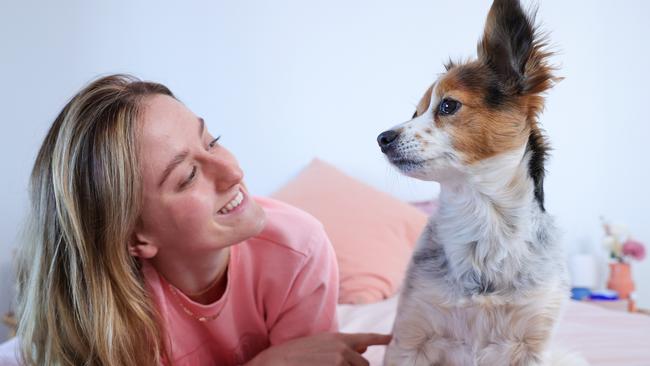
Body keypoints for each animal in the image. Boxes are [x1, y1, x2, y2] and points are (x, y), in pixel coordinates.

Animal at [374, 1, 584, 364]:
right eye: (416, 113)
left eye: (448, 105)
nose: (382, 138)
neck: (482, 216)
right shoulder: (411, 338)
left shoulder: (533, 343)